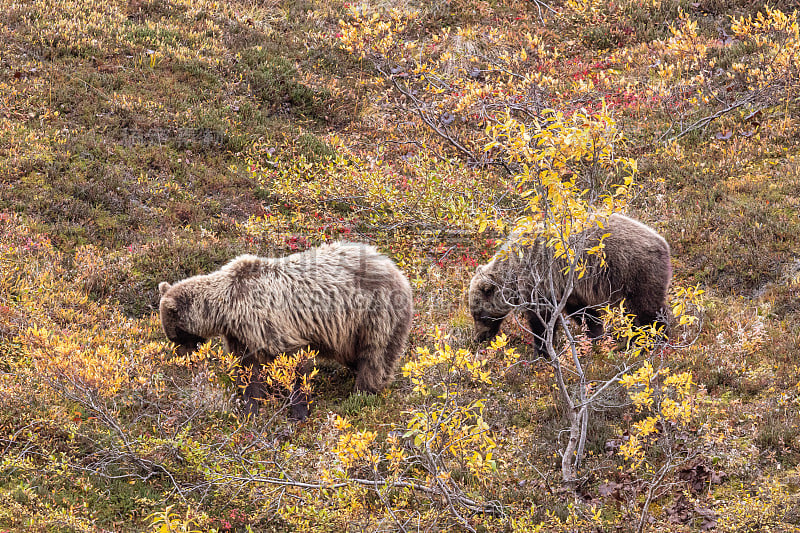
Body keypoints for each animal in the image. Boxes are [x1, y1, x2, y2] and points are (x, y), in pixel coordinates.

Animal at [160, 242, 416, 420]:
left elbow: (295, 362)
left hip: (374, 313)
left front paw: (298, 411)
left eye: (175, 335)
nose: (183, 357)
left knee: (375, 355)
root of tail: (396, 269)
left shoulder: (269, 323)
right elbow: (249, 371)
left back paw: (362, 394)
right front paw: (249, 408)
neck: (228, 308)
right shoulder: (242, 335)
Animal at [468, 214, 668, 352]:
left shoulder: (540, 281)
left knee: (646, 310)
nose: (478, 338)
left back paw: (653, 341)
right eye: (474, 314)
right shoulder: (570, 289)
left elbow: (542, 320)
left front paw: (542, 351)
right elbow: (584, 314)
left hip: (633, 271)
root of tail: (663, 242)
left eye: (479, 315)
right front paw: (596, 337)